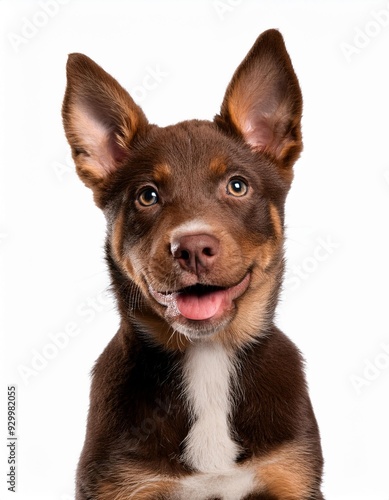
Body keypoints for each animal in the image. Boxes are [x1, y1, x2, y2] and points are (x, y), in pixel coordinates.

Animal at [62, 28, 322, 500]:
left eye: (237, 186)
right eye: (147, 195)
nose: (193, 248)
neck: (208, 358)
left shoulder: (291, 477)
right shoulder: (119, 483)